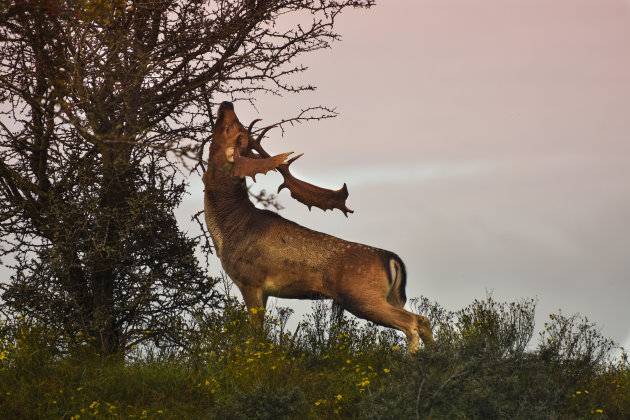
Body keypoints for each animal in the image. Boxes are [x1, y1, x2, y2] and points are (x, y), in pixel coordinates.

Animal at [202, 101, 434, 352]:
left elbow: (254, 336)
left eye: (229, 129)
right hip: (391, 297)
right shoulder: (263, 290)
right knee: (423, 319)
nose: (227, 104)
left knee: (411, 322)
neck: (228, 230)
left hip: (363, 297)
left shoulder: (250, 280)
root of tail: (393, 259)